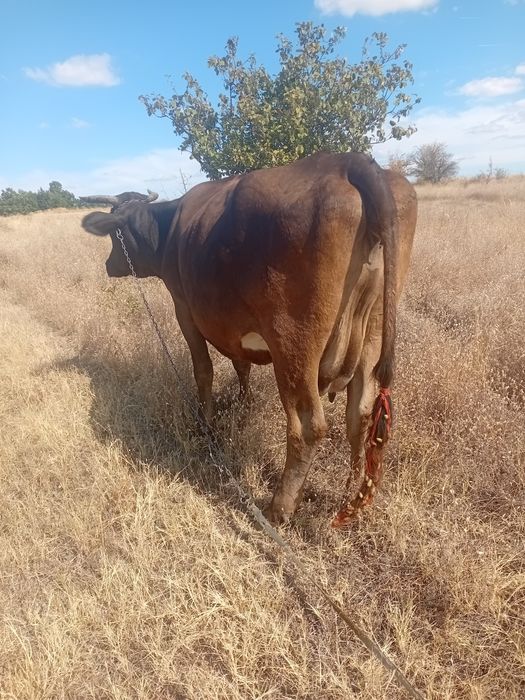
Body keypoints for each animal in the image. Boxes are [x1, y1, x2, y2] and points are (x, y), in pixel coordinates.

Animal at [81, 152, 417, 527]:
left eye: (114, 234)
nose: (109, 264)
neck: (169, 230)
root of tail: (346, 160)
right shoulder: (232, 324)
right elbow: (240, 365)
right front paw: (245, 404)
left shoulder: (184, 309)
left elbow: (203, 370)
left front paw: (206, 424)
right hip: (372, 332)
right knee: (360, 415)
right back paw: (347, 498)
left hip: (293, 345)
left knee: (308, 426)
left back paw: (279, 507)